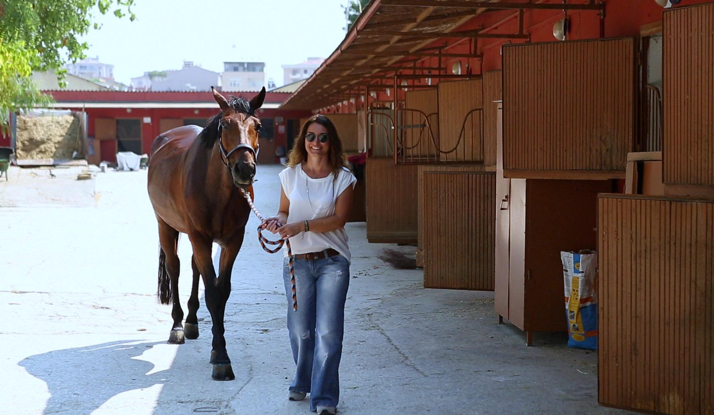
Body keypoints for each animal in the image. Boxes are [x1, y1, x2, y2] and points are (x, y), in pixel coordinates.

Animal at [146, 87, 266, 380]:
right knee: (175, 268)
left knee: (194, 268)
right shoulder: (199, 236)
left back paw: (191, 322)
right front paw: (221, 357)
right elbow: (211, 292)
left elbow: (221, 290)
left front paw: (217, 347)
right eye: (225, 125)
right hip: (165, 225)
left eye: (257, 126)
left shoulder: (232, 241)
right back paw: (178, 325)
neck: (216, 189)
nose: (245, 169)